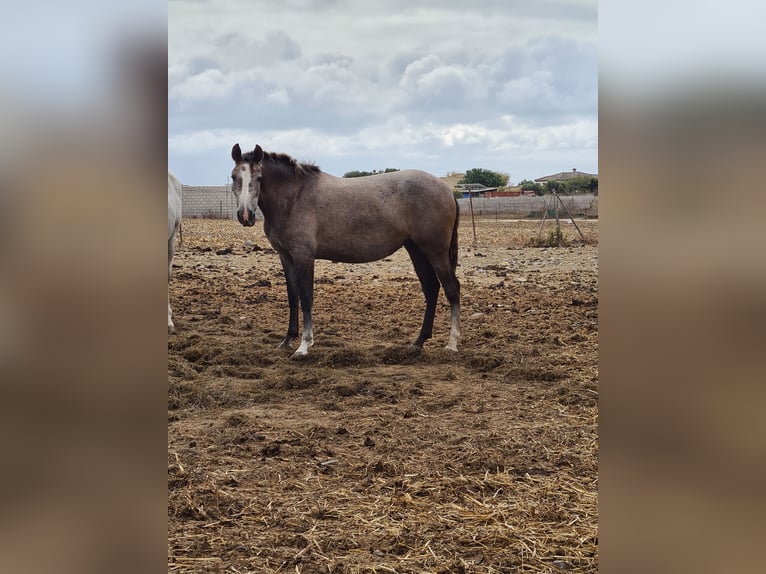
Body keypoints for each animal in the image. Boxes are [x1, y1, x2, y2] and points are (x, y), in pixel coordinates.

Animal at [231, 144, 462, 358]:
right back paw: (419, 341)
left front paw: (304, 346)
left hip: (435, 251)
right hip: (416, 250)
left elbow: (306, 298)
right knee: (431, 288)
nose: (245, 215)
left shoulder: (304, 257)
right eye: (234, 177)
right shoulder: (286, 257)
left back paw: (452, 343)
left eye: (259, 178)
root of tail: (447, 190)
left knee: (451, 288)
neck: (295, 197)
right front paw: (288, 340)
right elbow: (292, 297)